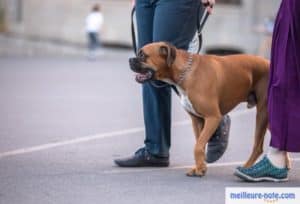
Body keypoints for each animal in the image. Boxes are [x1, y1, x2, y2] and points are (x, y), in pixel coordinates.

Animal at [127, 41, 274, 177]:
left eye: (143, 55)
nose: (130, 60)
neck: (185, 72)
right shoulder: (197, 120)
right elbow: (200, 144)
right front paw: (200, 167)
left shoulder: (212, 118)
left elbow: (197, 146)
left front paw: (200, 168)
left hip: (263, 114)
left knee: (257, 147)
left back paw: (246, 169)